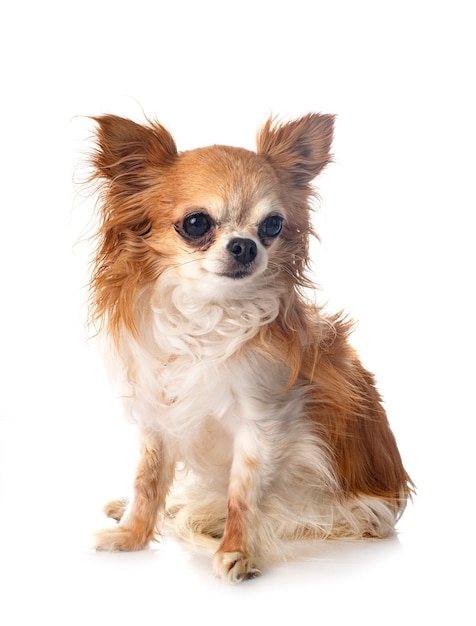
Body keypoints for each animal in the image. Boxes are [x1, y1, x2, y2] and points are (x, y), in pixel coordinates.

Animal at [86, 112, 412, 580]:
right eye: (196, 223)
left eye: (272, 225)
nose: (245, 244)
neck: (207, 313)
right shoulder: (158, 414)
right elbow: (147, 481)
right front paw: (132, 535)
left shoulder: (263, 421)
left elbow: (242, 494)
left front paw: (236, 551)